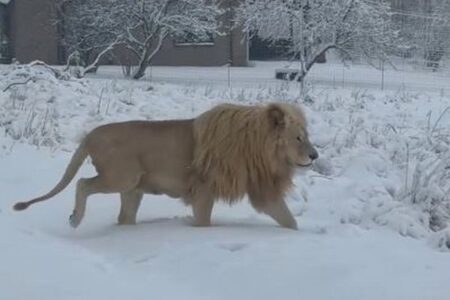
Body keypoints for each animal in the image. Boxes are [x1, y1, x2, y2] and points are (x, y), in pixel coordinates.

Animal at [12, 102, 318, 229]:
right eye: (298, 137)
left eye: (307, 135)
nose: (315, 155)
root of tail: (91, 134)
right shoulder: (203, 189)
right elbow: (204, 222)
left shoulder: (262, 190)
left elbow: (288, 219)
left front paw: (297, 235)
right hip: (121, 177)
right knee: (82, 183)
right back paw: (76, 219)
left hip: (133, 189)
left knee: (124, 218)